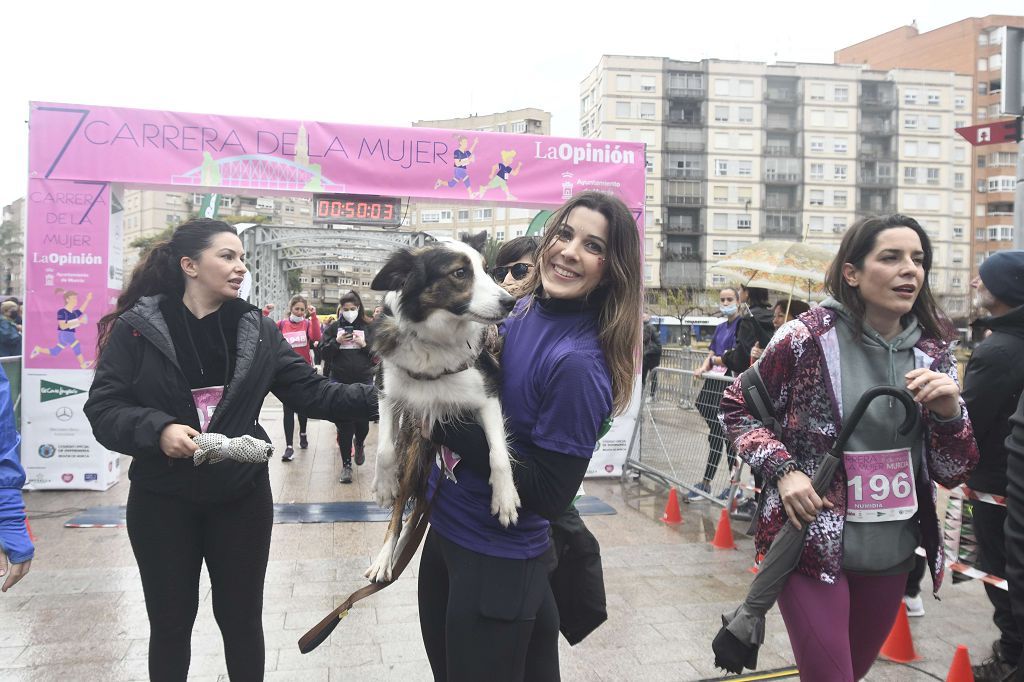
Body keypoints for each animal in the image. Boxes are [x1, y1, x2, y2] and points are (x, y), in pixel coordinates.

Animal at [362, 232, 520, 577]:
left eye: (488, 270)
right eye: (460, 273)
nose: (510, 303)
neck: (436, 340)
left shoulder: (487, 393)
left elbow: (498, 453)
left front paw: (505, 497)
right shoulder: (387, 389)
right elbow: (384, 449)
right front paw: (383, 485)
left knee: (419, 510)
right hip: (414, 454)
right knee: (403, 511)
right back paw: (386, 557)